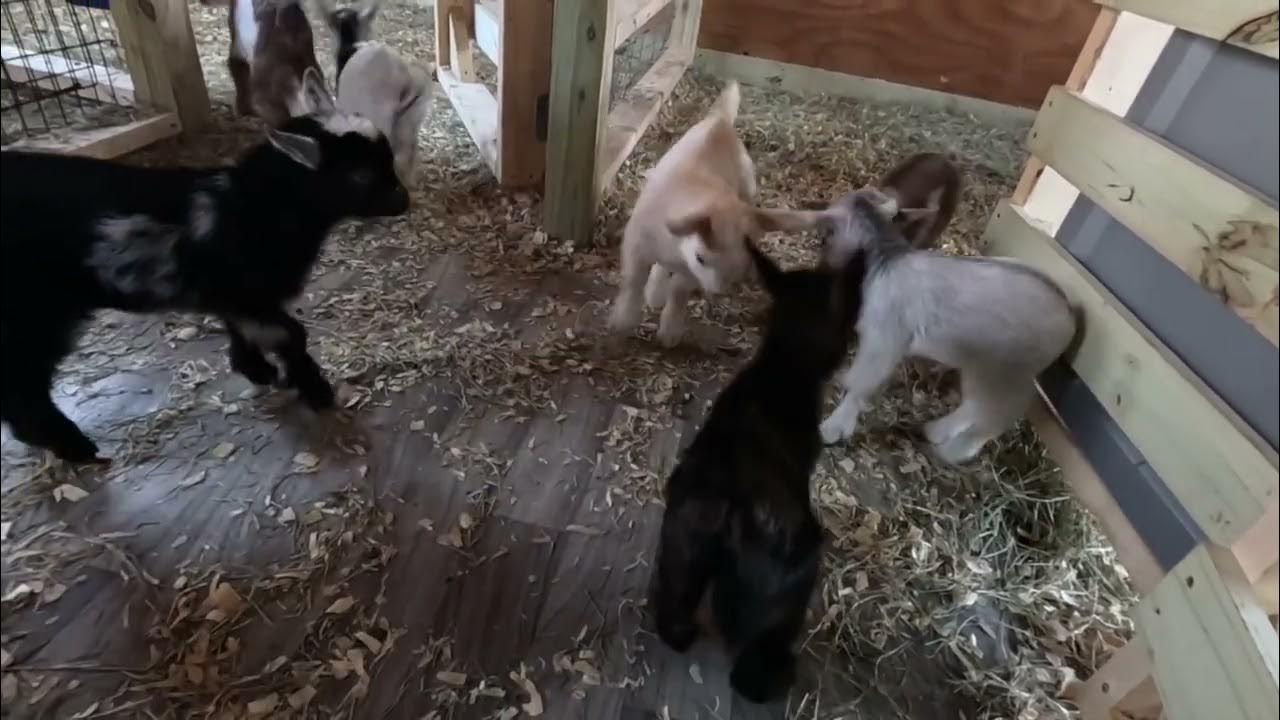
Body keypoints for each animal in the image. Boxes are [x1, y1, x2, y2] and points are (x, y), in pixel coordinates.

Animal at [0, 69, 409, 463]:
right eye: (359, 176)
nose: (403, 200)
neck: (251, 206)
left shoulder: (239, 298)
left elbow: (243, 331)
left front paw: (255, 369)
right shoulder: (246, 292)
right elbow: (291, 335)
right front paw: (316, 391)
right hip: (34, 312)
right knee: (23, 387)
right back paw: (76, 448)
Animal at [608, 81, 820, 347]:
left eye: (739, 265)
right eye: (701, 257)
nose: (716, 292)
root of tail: (721, 122)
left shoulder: (689, 272)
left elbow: (679, 291)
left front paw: (670, 332)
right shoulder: (637, 244)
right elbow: (633, 281)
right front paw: (623, 320)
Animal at [651, 240, 868, 704]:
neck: (782, 365)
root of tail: (731, 507)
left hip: (681, 550)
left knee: (673, 621)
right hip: (794, 575)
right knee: (752, 669)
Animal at [795, 187, 1080, 464]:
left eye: (827, 233)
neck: (886, 260)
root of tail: (1070, 317)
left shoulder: (883, 340)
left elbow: (860, 383)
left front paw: (833, 428)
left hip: (1008, 373)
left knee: (993, 416)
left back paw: (954, 451)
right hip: (981, 364)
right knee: (974, 405)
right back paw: (935, 431)